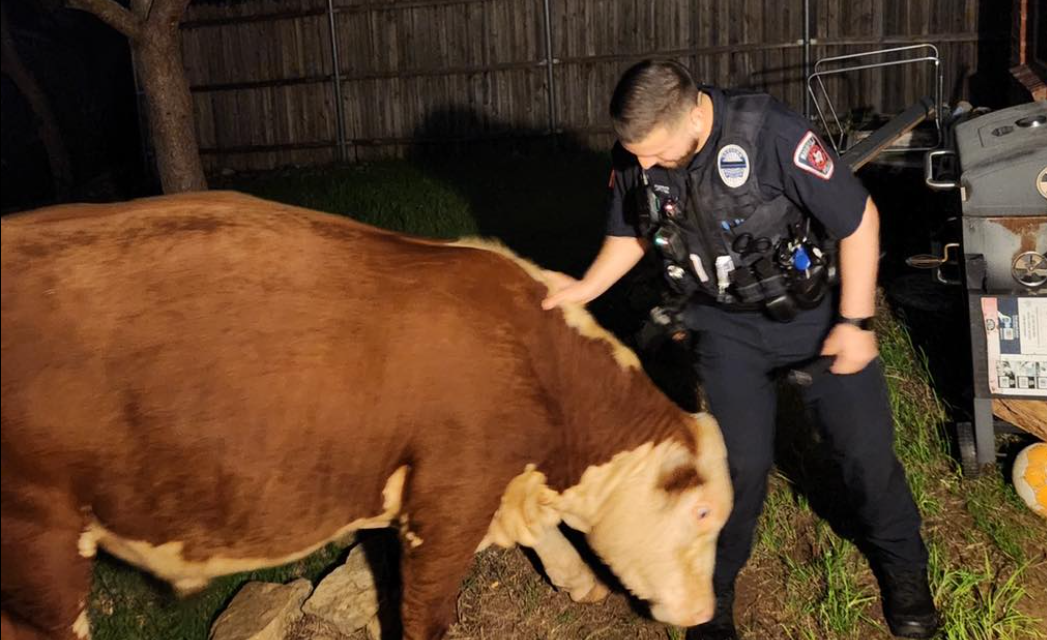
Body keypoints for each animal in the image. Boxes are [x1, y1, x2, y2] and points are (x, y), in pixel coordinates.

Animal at [2, 193, 728, 640]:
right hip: (36, 535)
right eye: (700, 514)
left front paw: (578, 580)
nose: (704, 610)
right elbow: (426, 608)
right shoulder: (451, 493)